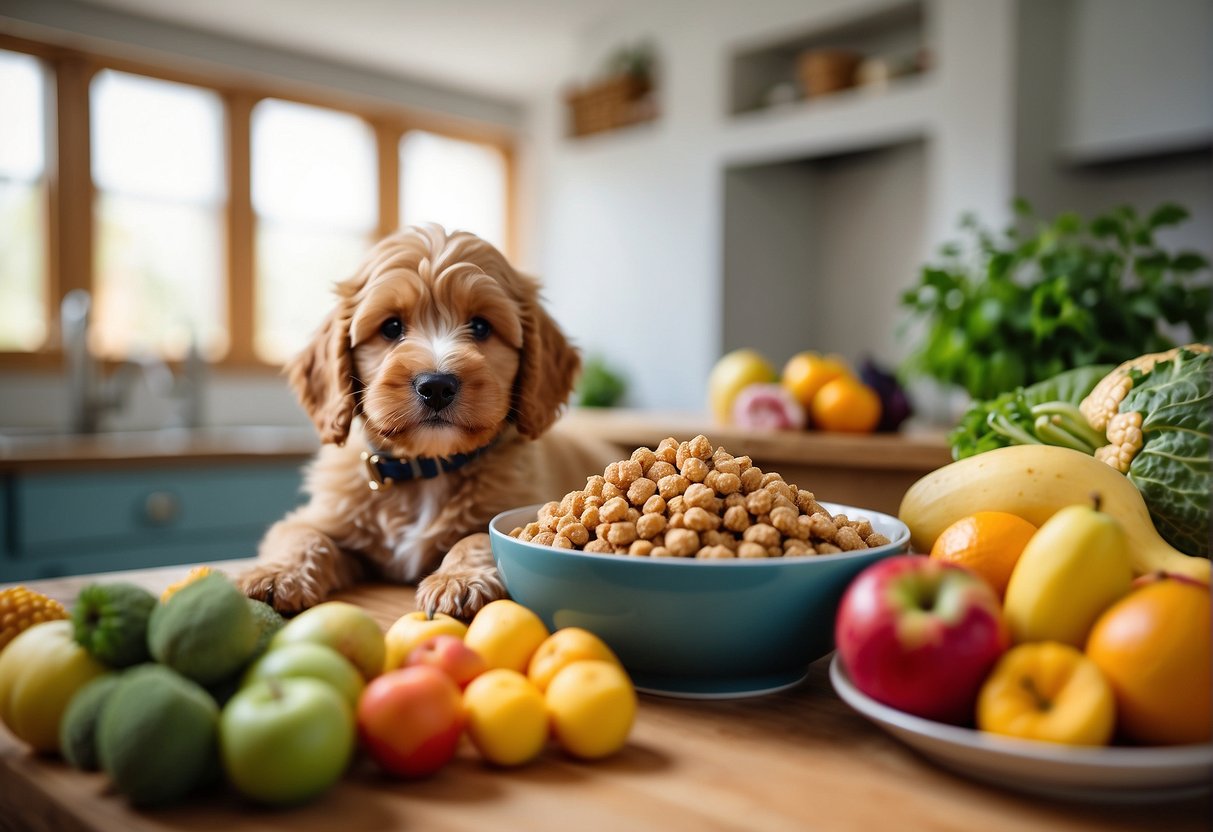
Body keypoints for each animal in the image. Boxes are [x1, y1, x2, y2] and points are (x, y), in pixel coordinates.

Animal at [237, 223, 616, 618]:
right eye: (391, 327)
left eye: (481, 326)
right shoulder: (321, 516)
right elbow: (301, 534)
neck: (425, 467)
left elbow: (479, 535)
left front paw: (459, 579)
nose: (436, 386)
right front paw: (276, 573)